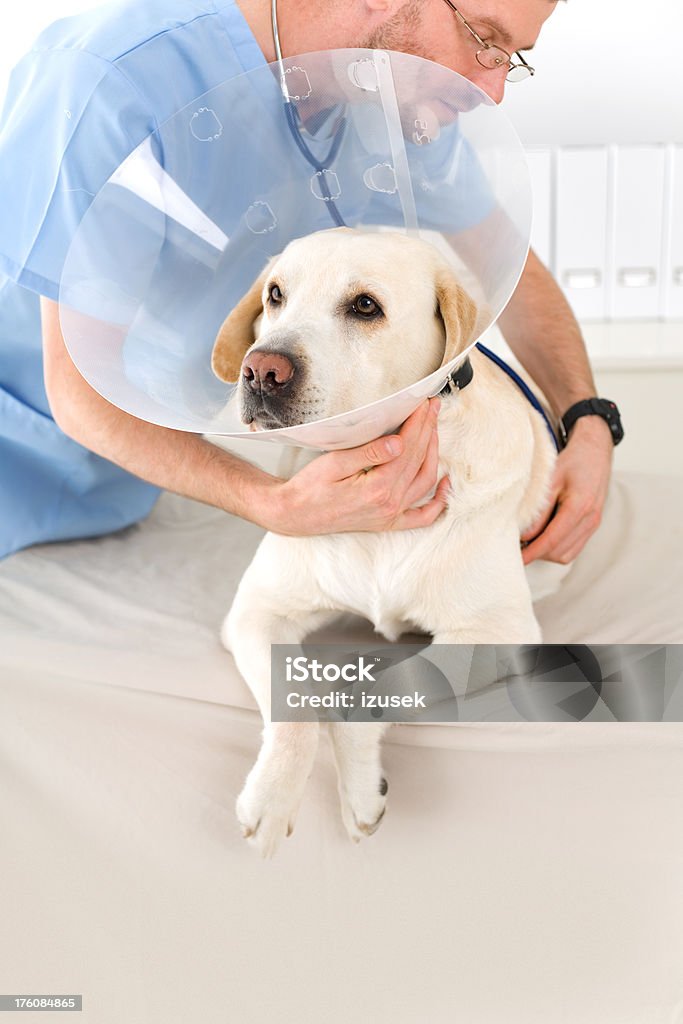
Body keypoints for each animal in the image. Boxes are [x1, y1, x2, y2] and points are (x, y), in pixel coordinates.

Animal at [210, 228, 557, 860]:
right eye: (276, 294)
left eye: (365, 305)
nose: (261, 370)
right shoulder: (256, 612)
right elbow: (294, 701)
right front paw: (273, 796)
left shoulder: (498, 631)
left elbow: (382, 682)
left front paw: (360, 788)